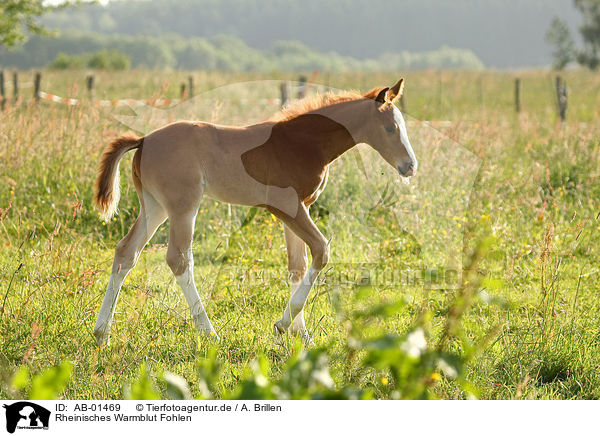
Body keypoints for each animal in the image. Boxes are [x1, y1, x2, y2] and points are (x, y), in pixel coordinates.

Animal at [92, 77, 418, 344]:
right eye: (390, 128)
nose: (410, 166)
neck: (303, 142)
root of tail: (143, 140)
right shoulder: (287, 207)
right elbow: (321, 251)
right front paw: (282, 325)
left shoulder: (299, 208)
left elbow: (298, 265)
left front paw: (302, 334)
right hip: (183, 206)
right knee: (178, 259)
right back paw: (208, 332)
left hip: (155, 206)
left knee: (126, 253)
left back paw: (102, 333)